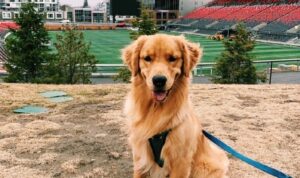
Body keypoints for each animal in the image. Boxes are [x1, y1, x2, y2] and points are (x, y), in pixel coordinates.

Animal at [122, 34, 227, 177]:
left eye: (172, 58)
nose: (159, 80)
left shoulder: (181, 161)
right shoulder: (139, 157)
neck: (156, 110)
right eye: (147, 58)